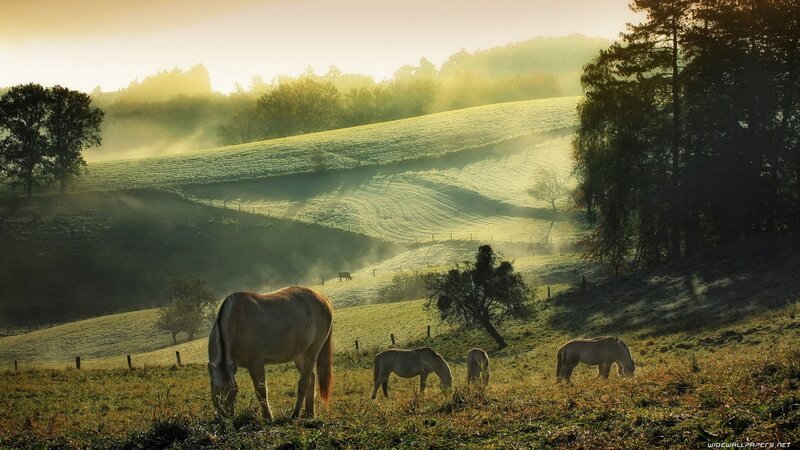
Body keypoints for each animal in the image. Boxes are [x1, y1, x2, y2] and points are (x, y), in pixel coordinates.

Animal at [207, 286, 333, 419]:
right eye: (215, 388)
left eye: (234, 389)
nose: (225, 415)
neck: (237, 322)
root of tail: (323, 299)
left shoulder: (256, 364)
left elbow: (261, 391)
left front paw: (268, 417)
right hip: (300, 355)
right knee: (311, 379)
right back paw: (309, 413)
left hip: (312, 352)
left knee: (304, 383)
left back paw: (295, 414)